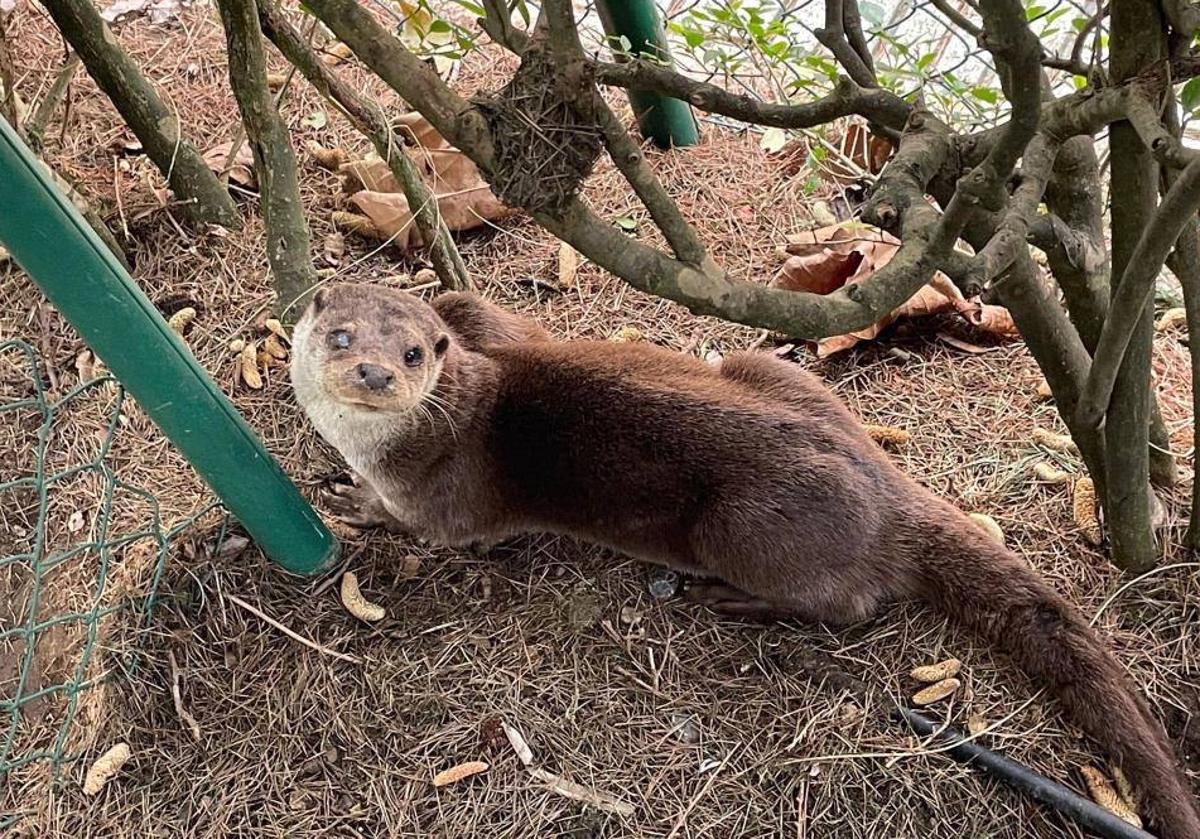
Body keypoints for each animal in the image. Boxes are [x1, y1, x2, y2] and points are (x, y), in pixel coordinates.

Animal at [290, 284, 1200, 839]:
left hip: (739, 524)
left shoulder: (441, 495)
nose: (371, 371)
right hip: (761, 368)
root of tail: (889, 489)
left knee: (852, 603)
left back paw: (738, 601)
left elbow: (430, 526)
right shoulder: (495, 330)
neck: (400, 436)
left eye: (413, 355)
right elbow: (484, 308)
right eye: (340, 335)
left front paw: (351, 502)